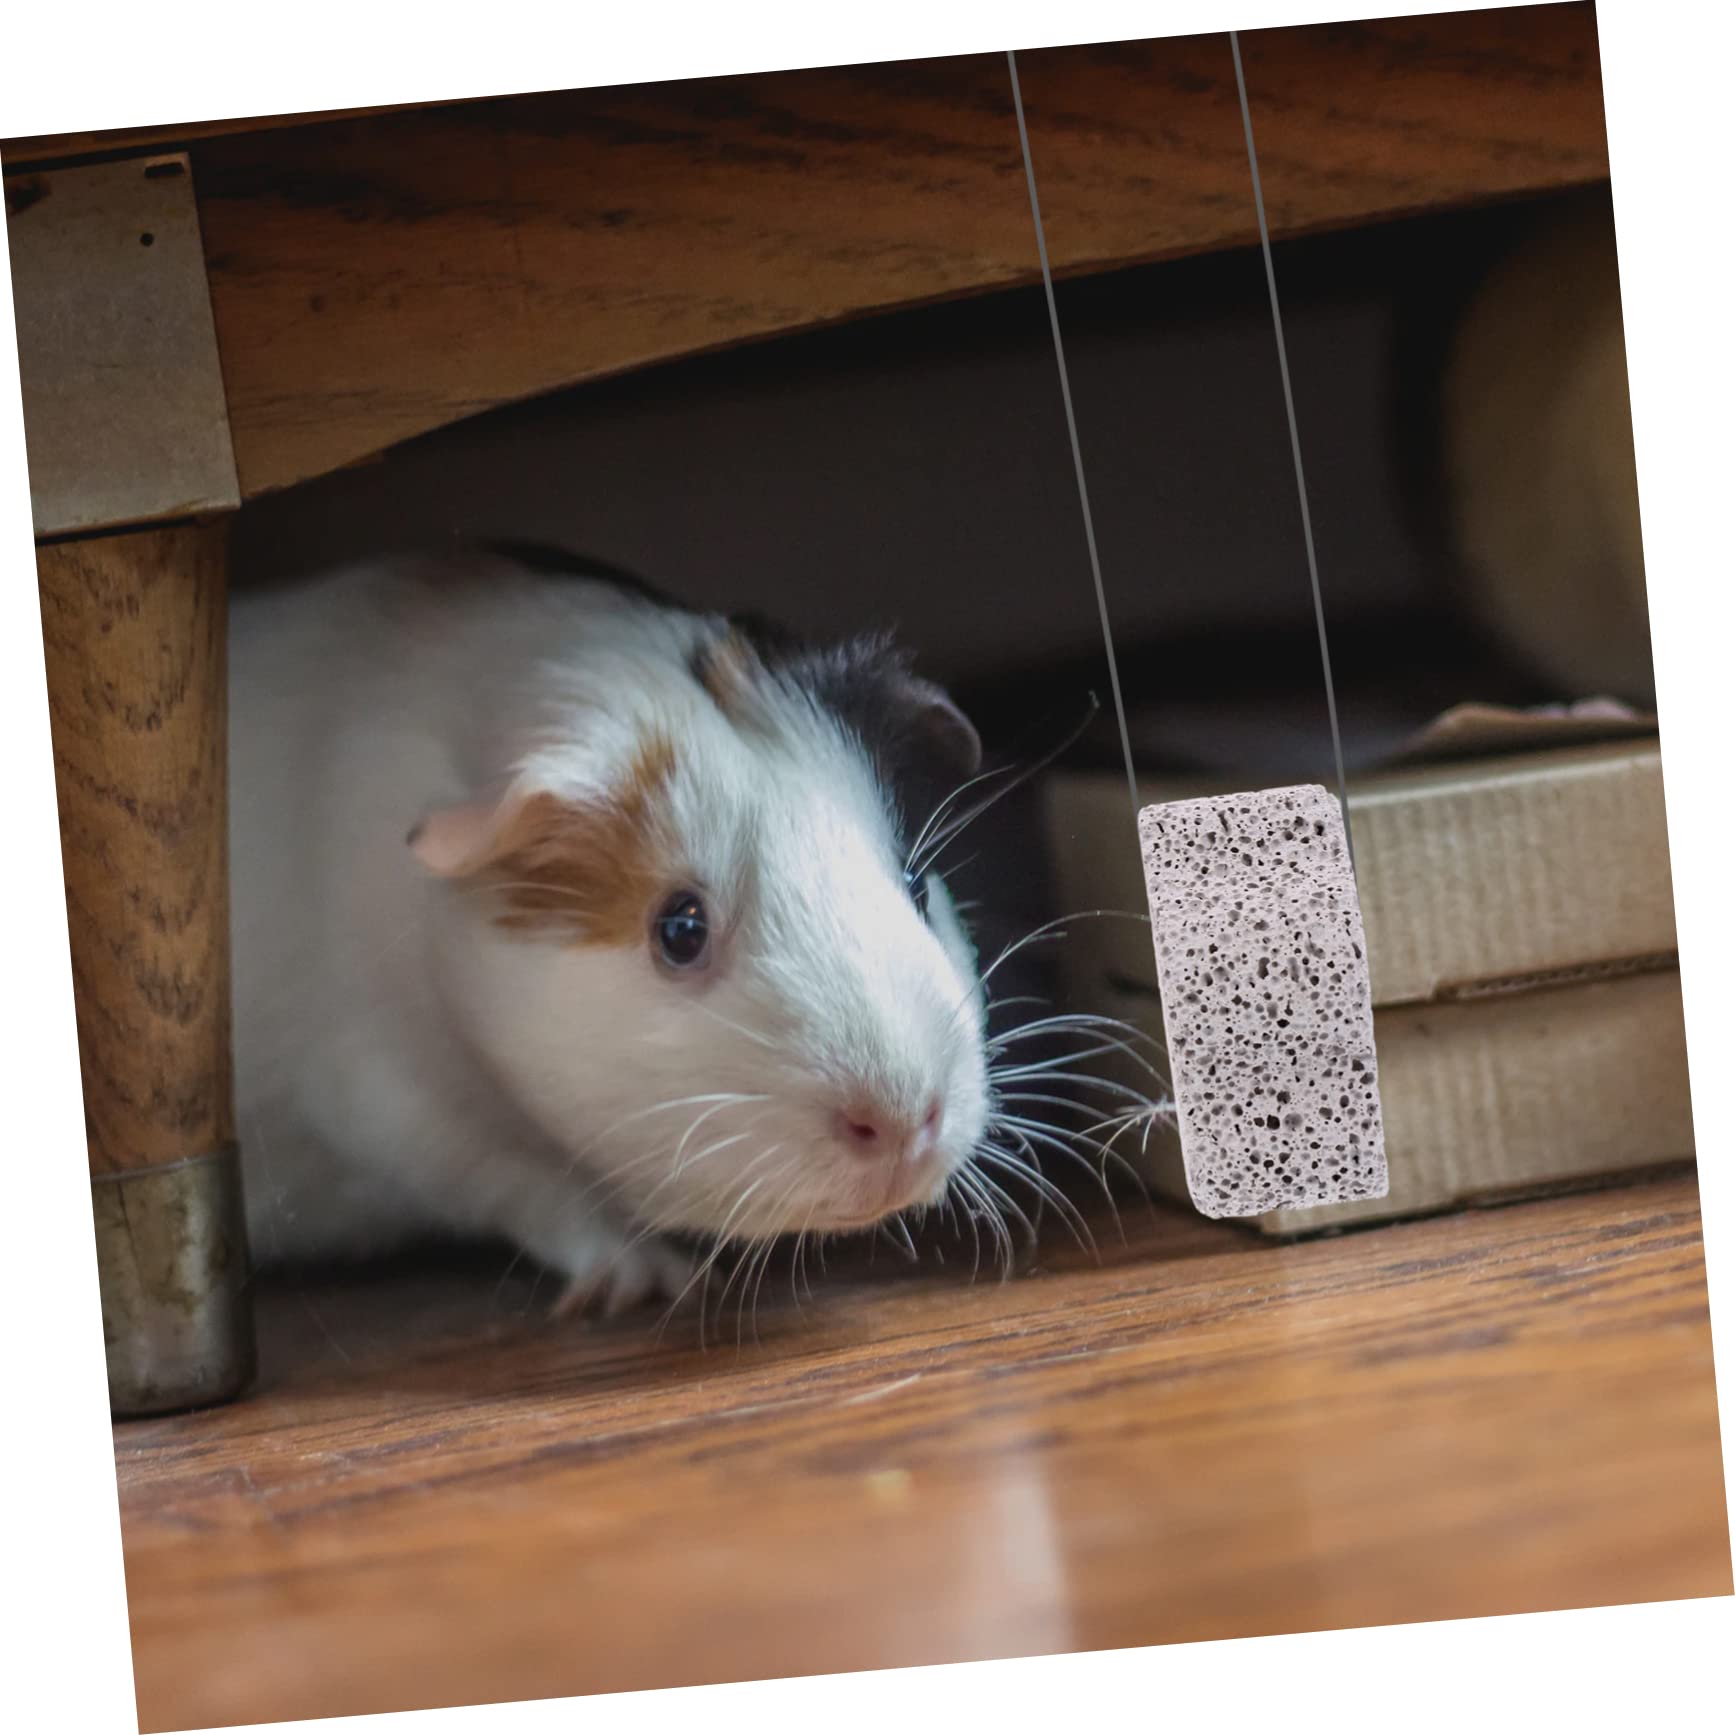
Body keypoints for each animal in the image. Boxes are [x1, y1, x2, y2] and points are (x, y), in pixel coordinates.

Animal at [228, 543, 996, 1314]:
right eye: (680, 930)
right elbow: (533, 1190)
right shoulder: (397, 1106)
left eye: (914, 882)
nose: (903, 1123)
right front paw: (654, 1282)